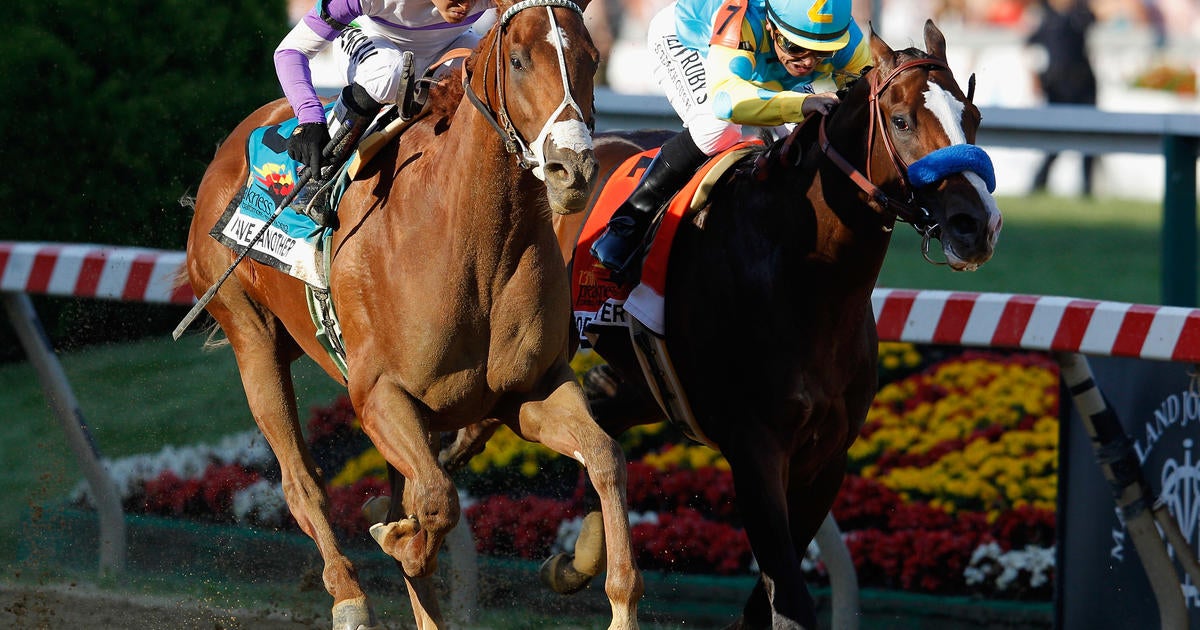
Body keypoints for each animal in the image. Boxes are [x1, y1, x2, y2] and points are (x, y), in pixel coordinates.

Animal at [181, 1, 648, 628]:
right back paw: (349, 596)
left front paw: (619, 602)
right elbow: (434, 500)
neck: (469, 241)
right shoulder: (378, 393)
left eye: (593, 59)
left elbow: (604, 457)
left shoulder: (529, 391)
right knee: (303, 483)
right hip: (251, 337)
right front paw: (392, 536)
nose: (571, 169)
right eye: (519, 59)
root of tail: (229, 146)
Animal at [535, 19, 1003, 628]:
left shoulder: (826, 457)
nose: (976, 226)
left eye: (973, 118)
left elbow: (771, 596)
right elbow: (790, 599)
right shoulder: (755, 448)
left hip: (644, 378)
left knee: (600, 416)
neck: (809, 280)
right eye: (901, 121)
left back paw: (578, 558)